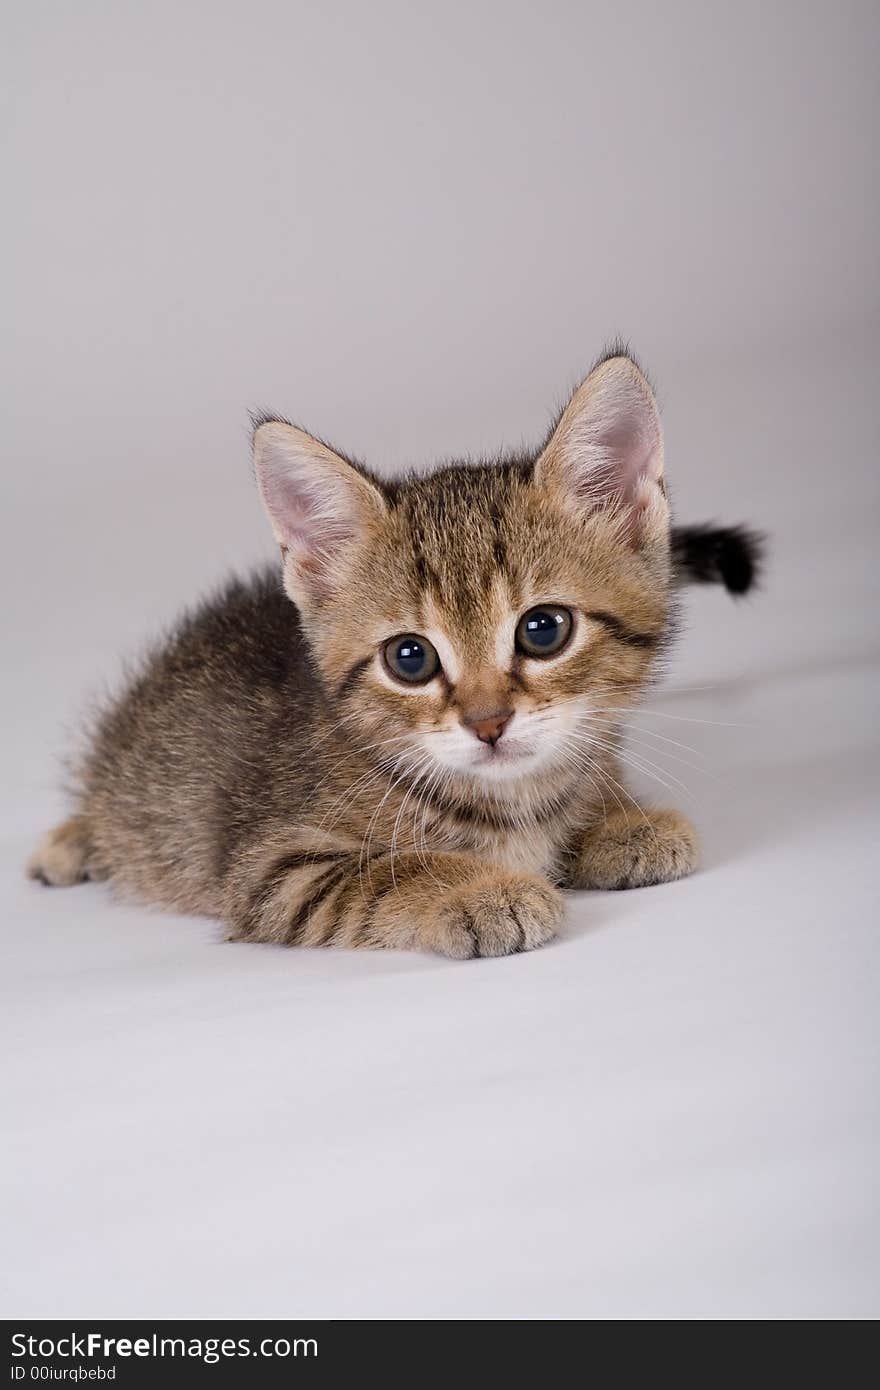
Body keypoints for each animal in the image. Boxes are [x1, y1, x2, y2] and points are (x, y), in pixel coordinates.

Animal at [27, 350, 756, 956]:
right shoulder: (271, 869)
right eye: (411, 659)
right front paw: (480, 890)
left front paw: (617, 820)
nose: (489, 724)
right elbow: (392, 873)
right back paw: (72, 841)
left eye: (543, 630)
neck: (511, 798)